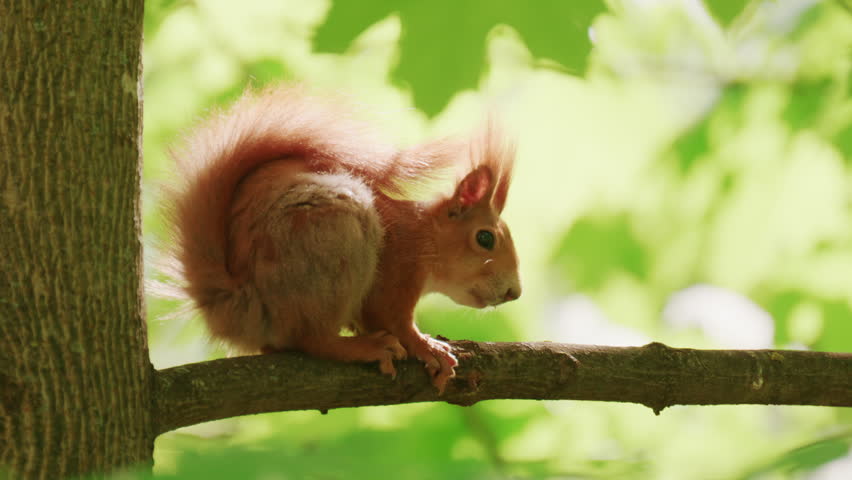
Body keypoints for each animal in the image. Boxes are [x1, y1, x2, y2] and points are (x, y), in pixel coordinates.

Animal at [165, 85, 521, 393]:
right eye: (485, 238)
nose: (514, 293)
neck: (423, 236)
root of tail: (235, 305)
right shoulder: (397, 271)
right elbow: (394, 321)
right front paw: (427, 346)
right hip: (333, 243)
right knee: (312, 339)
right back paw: (363, 347)